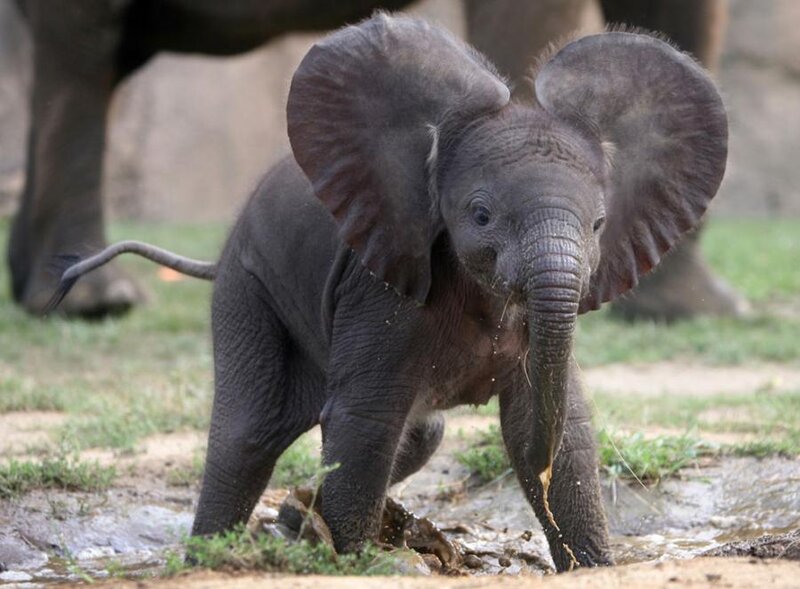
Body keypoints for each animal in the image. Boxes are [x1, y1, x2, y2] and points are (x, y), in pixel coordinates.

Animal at [48, 14, 728, 571]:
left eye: (598, 226)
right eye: (481, 215)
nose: (537, 472)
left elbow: (560, 424)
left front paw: (593, 566)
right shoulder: (382, 283)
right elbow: (364, 421)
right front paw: (355, 561)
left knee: (422, 434)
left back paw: (294, 519)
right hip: (250, 287)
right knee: (247, 436)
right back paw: (215, 558)